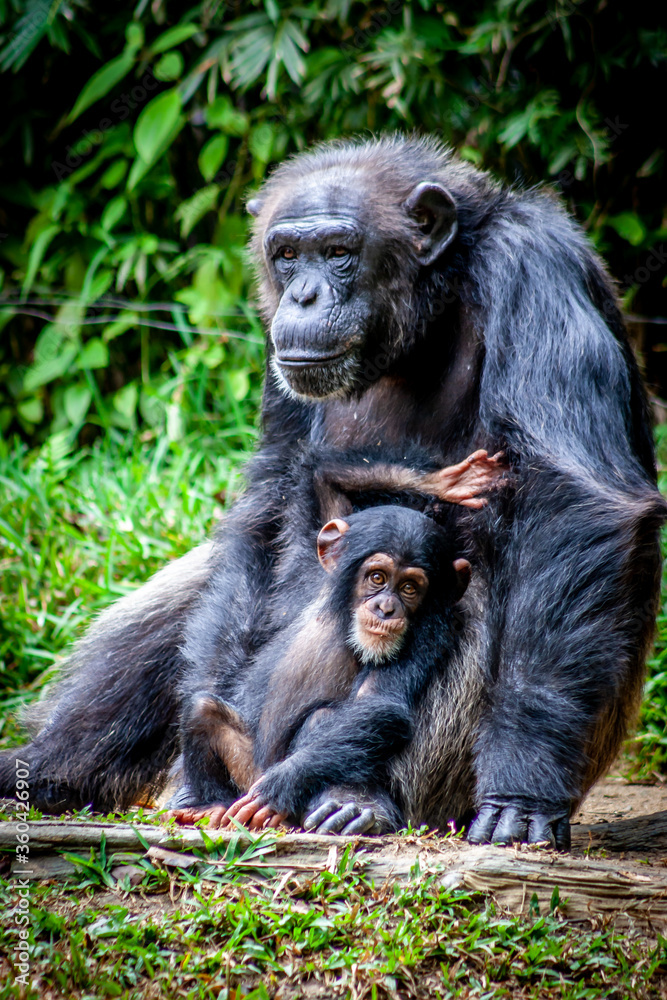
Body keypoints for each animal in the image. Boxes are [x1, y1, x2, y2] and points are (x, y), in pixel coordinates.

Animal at [172, 508, 474, 836]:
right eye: (377, 577)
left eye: (410, 588)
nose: (386, 608)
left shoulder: (425, 635)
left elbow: (379, 703)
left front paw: (280, 786)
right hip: (246, 771)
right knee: (203, 710)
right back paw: (208, 805)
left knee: (325, 719)